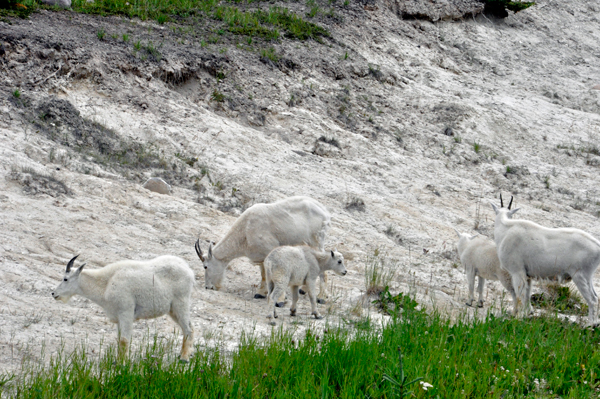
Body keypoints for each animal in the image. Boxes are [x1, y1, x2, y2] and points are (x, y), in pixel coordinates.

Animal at [51, 256, 196, 362]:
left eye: (65, 279)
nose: (54, 294)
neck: (106, 284)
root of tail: (189, 270)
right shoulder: (118, 317)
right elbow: (119, 339)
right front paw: (117, 360)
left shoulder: (126, 312)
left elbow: (124, 340)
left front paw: (122, 363)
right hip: (172, 310)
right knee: (187, 329)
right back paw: (182, 355)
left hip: (181, 303)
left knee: (188, 328)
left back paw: (184, 358)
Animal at [195, 197, 330, 304]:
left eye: (205, 266)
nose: (208, 287)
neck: (245, 230)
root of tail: (325, 212)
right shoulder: (261, 256)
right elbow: (264, 274)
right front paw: (260, 293)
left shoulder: (270, 250)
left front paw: (280, 300)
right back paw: (304, 289)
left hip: (317, 241)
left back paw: (321, 297)